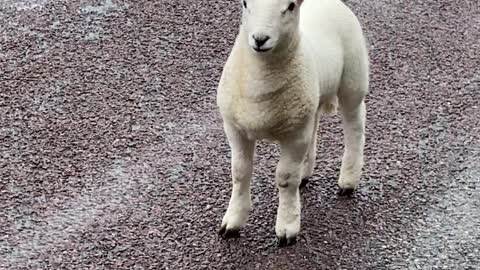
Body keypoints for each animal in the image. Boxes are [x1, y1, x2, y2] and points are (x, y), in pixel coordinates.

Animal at [216, 0, 370, 246]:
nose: (260, 39)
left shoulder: (294, 135)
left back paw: (348, 180)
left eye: (289, 6)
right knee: (315, 126)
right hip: (308, 105)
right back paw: (306, 173)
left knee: (354, 126)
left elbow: (286, 179)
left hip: (353, 79)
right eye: (245, 3)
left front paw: (287, 228)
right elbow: (240, 172)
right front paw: (232, 222)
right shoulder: (235, 129)